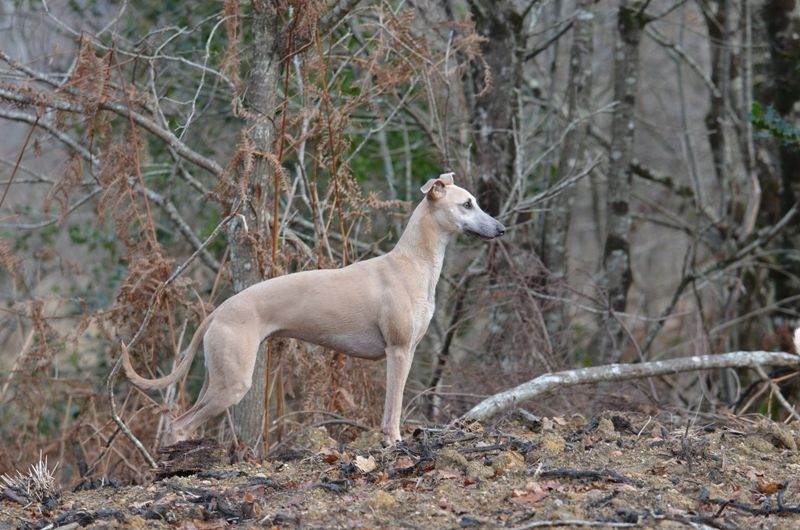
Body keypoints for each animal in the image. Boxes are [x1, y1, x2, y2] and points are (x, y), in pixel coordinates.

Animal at [122, 171, 504, 444]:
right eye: (467, 204)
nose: (501, 228)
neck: (412, 263)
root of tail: (219, 310)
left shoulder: (404, 350)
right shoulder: (398, 350)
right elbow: (393, 407)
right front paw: (394, 441)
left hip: (218, 377)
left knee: (182, 421)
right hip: (232, 383)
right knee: (179, 425)